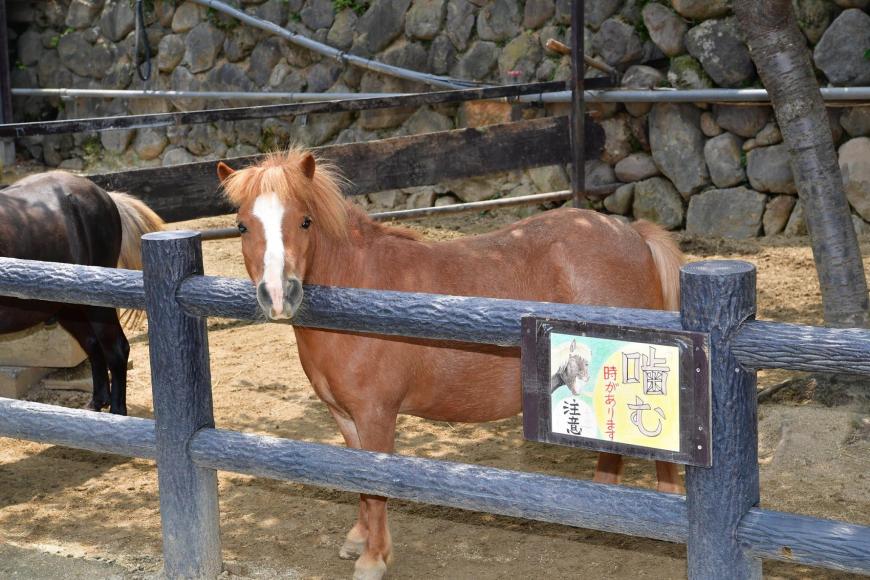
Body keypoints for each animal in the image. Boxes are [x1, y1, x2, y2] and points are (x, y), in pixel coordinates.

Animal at [0, 171, 164, 415]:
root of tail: (105, 196)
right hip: (69, 307)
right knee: (92, 344)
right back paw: (97, 402)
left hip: (97, 306)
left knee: (116, 349)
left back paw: (117, 412)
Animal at [217, 149, 685, 580]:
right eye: (242, 226)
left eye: (305, 222)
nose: (279, 295)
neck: (361, 296)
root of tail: (632, 233)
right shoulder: (345, 416)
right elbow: (360, 479)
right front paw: (359, 540)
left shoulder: (376, 415)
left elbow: (377, 482)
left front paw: (373, 559)